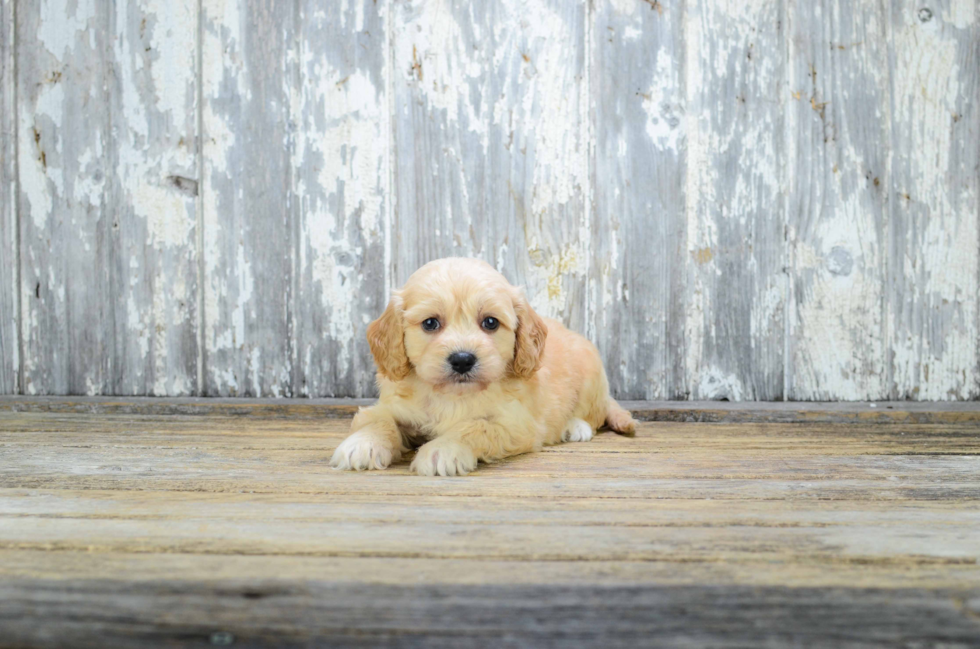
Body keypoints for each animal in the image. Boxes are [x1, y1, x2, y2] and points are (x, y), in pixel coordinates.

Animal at [330, 258, 636, 476]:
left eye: (490, 322)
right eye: (430, 323)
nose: (462, 359)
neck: (452, 396)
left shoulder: (516, 424)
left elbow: (475, 427)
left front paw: (442, 450)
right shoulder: (389, 406)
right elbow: (379, 420)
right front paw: (362, 444)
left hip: (592, 376)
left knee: (594, 414)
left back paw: (575, 426)